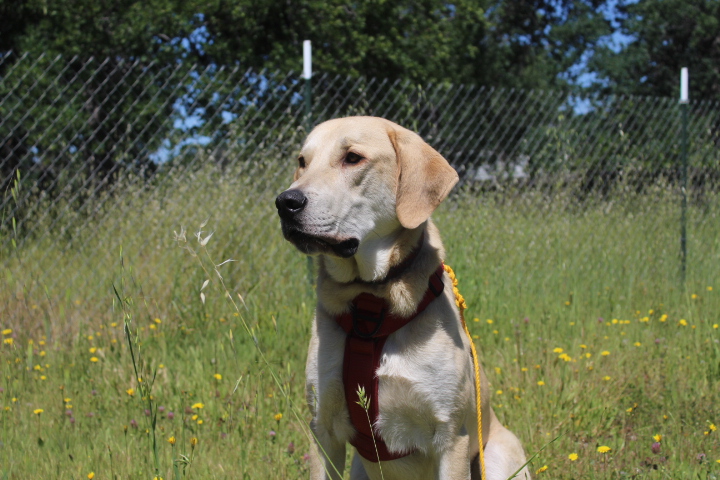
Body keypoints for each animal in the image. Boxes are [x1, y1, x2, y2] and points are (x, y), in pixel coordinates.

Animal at [276, 116, 530, 480]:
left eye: (352, 158)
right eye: (302, 161)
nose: (285, 203)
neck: (371, 302)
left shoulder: (451, 436)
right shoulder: (323, 430)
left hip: (495, 458)